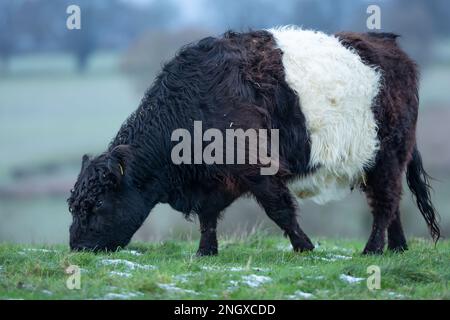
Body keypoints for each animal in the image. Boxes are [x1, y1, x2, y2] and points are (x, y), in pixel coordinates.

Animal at [67, 26, 440, 255]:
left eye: (97, 204)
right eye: (74, 206)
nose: (77, 249)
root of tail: (386, 42)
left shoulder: (258, 166)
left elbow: (280, 209)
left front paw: (304, 247)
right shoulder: (213, 180)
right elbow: (207, 217)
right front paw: (205, 252)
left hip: (388, 153)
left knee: (385, 202)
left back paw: (373, 249)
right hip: (375, 161)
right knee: (390, 203)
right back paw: (397, 247)